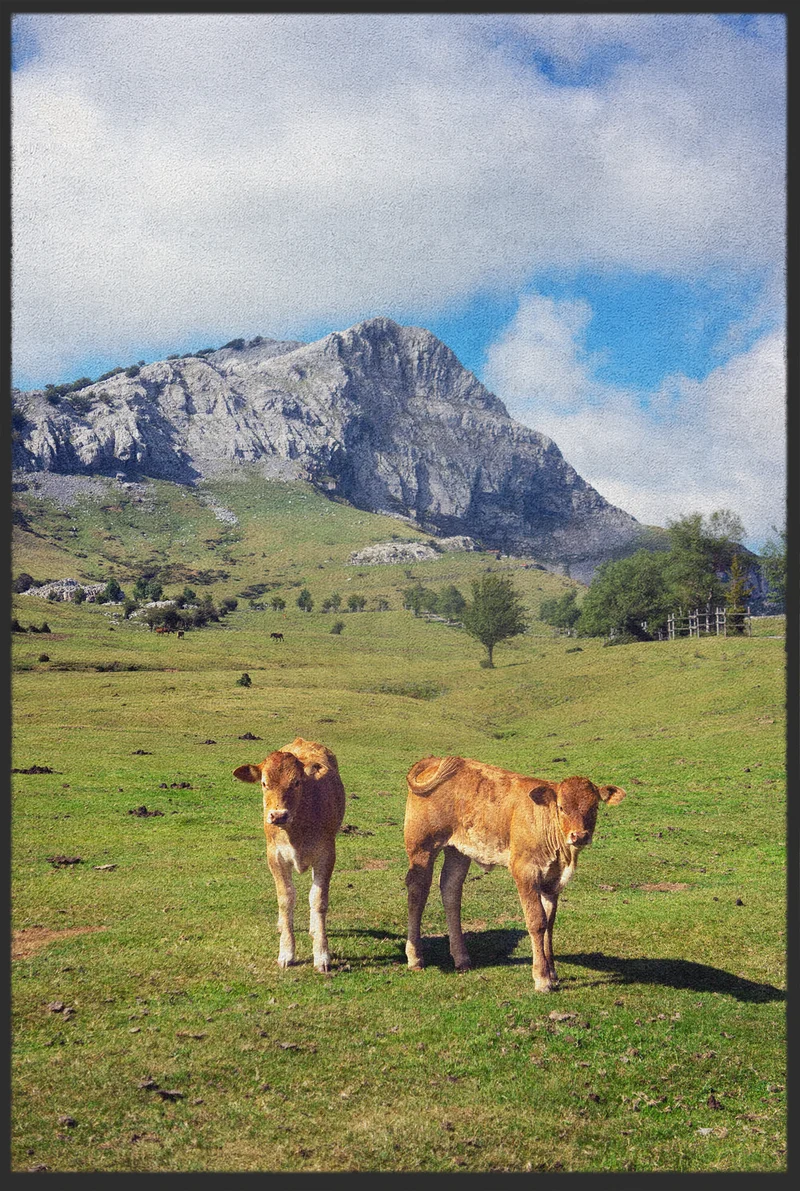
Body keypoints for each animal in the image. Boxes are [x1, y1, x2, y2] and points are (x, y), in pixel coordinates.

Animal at [233, 737, 346, 972]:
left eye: (296, 782)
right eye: (264, 783)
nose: (278, 815)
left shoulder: (326, 855)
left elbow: (318, 899)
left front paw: (322, 954)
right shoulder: (274, 857)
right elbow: (285, 898)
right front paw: (286, 952)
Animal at [403, 755, 625, 991]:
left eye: (594, 807)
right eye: (561, 807)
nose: (579, 836)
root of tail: (435, 760)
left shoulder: (552, 882)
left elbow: (550, 923)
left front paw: (552, 972)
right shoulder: (525, 871)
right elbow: (537, 921)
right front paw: (542, 978)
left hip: (458, 851)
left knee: (450, 890)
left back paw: (461, 958)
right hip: (421, 847)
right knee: (417, 892)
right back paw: (415, 958)